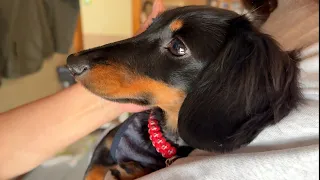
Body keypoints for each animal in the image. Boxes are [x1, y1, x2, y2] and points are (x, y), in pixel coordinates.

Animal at [66, 3, 302, 180]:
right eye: (149, 27)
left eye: (178, 47)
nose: (71, 63)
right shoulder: (105, 144)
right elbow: (93, 172)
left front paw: (132, 171)